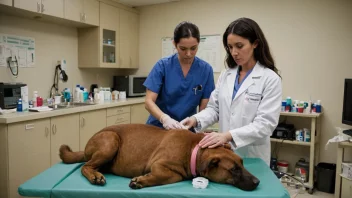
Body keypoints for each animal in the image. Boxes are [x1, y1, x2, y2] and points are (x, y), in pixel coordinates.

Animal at [59, 124, 260, 190]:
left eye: (242, 164)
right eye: (234, 169)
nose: (257, 182)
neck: (194, 150)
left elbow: (170, 177)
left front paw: (142, 180)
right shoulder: (159, 165)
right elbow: (165, 175)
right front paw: (140, 181)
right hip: (111, 141)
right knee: (85, 166)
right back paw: (95, 175)